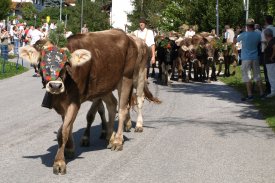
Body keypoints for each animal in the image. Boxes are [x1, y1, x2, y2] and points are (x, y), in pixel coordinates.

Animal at [20, 29, 162, 175]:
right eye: (41, 61)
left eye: (65, 63)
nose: (55, 86)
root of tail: (128, 37)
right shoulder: (64, 104)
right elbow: (68, 126)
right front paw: (69, 149)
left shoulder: (75, 101)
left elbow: (64, 131)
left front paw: (59, 162)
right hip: (107, 84)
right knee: (112, 105)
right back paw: (110, 137)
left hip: (131, 76)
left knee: (128, 105)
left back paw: (121, 138)